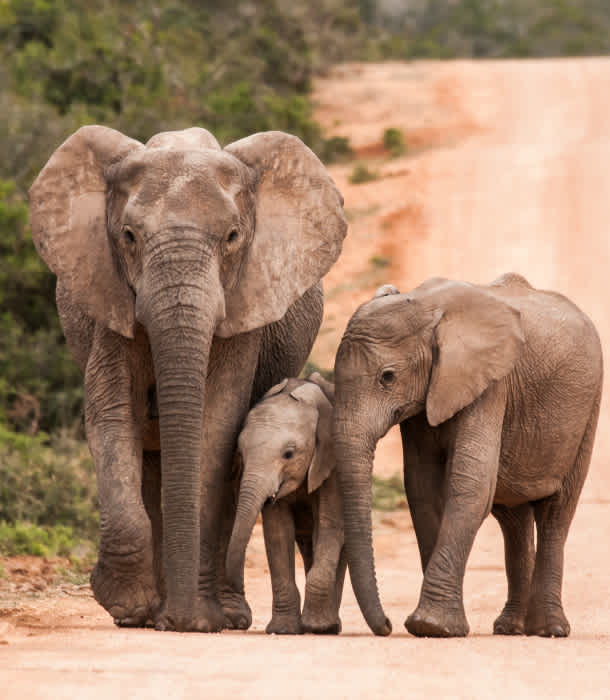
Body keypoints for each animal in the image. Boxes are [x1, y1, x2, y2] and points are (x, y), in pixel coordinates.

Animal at [225, 373, 345, 634]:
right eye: (241, 453)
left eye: (289, 454)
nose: (239, 623)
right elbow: (278, 533)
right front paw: (282, 630)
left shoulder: (333, 466)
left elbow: (329, 525)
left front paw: (319, 627)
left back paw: (330, 625)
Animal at [333, 274, 602, 638]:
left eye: (387, 377)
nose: (386, 625)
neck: (426, 307)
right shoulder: (426, 398)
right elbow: (422, 487)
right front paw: (433, 626)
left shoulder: (491, 386)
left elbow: (470, 484)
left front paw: (431, 626)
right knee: (514, 519)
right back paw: (510, 628)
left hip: (588, 411)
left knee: (556, 513)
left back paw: (550, 630)